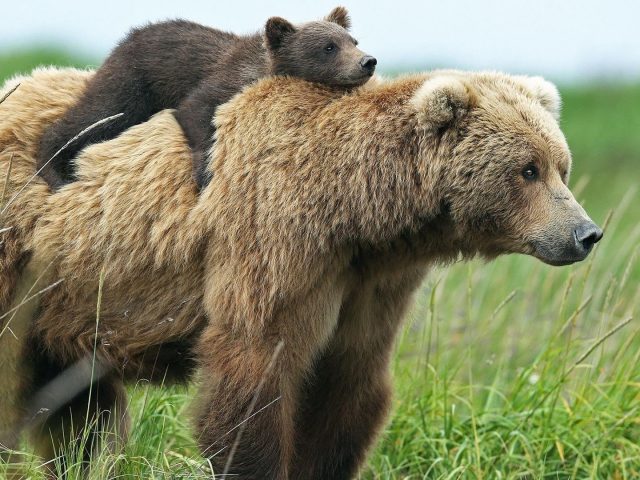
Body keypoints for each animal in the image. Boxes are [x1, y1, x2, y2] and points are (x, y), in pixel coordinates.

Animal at [0, 68, 600, 480]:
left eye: (561, 165)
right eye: (528, 169)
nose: (585, 233)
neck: (354, 212)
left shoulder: (368, 282)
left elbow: (348, 384)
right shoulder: (274, 244)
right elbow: (255, 371)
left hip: (66, 305)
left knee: (80, 412)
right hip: (24, 266)